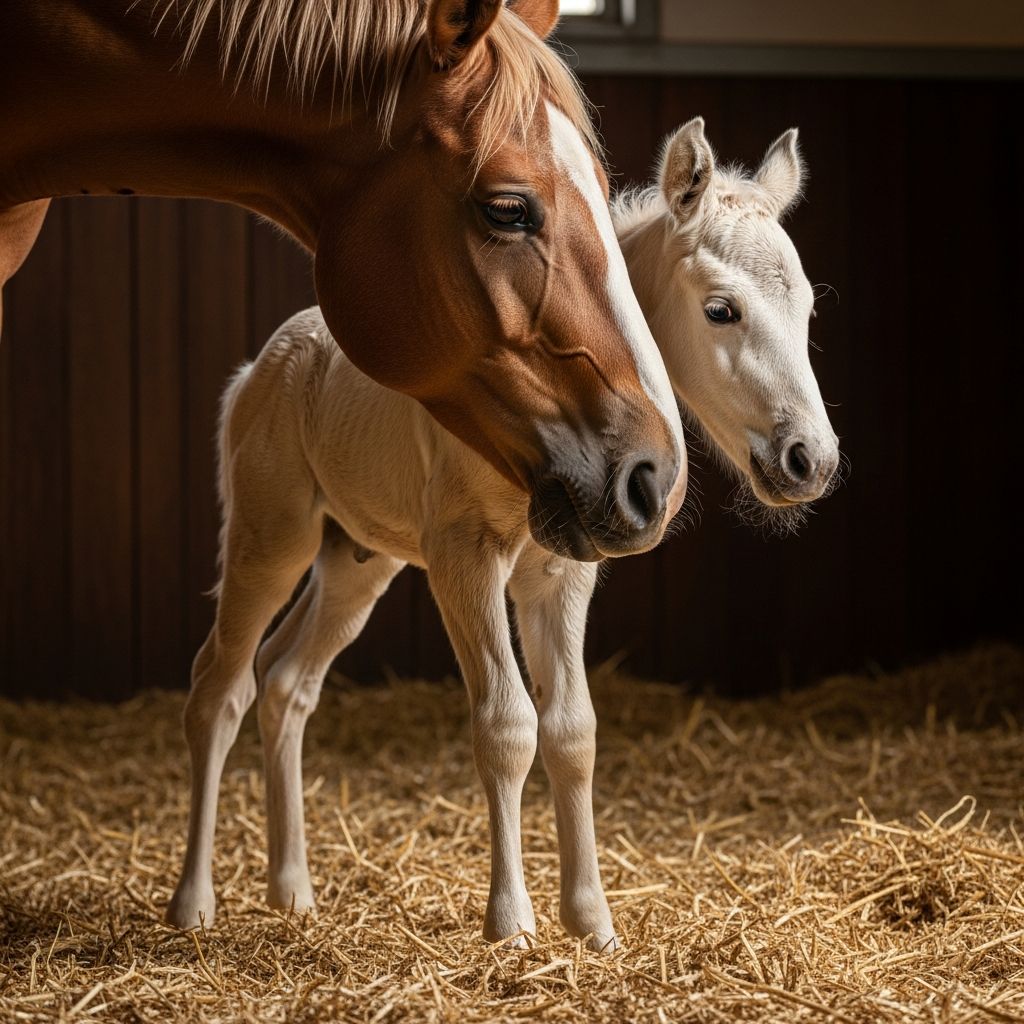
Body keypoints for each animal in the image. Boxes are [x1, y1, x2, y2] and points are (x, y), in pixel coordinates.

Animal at [168, 117, 839, 947]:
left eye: (807, 309)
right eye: (721, 309)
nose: (810, 459)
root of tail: (261, 368)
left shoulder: (562, 573)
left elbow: (574, 732)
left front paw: (591, 922)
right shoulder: (466, 557)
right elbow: (507, 726)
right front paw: (512, 924)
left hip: (358, 561)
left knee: (288, 681)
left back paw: (291, 890)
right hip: (273, 536)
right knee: (219, 687)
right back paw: (193, 902)